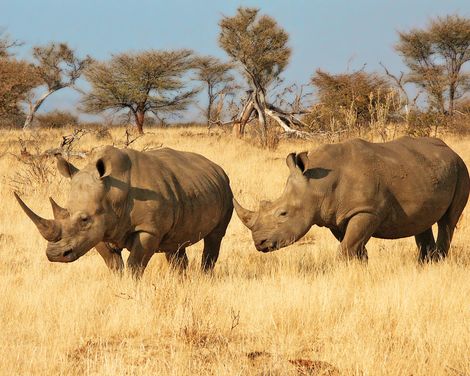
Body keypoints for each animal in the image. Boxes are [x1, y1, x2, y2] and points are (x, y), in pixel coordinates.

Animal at [13, 145, 234, 274]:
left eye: (84, 219)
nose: (55, 255)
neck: (112, 193)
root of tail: (216, 167)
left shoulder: (148, 229)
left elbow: (135, 264)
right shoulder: (100, 231)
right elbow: (113, 264)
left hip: (226, 188)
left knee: (214, 238)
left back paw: (204, 276)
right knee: (175, 244)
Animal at [233, 137, 468, 262]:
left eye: (283, 213)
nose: (259, 244)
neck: (317, 185)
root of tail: (451, 150)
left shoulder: (366, 211)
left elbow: (347, 246)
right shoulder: (336, 217)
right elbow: (352, 244)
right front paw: (360, 266)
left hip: (461, 169)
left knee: (448, 222)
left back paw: (437, 262)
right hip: (427, 170)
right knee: (422, 221)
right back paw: (423, 265)